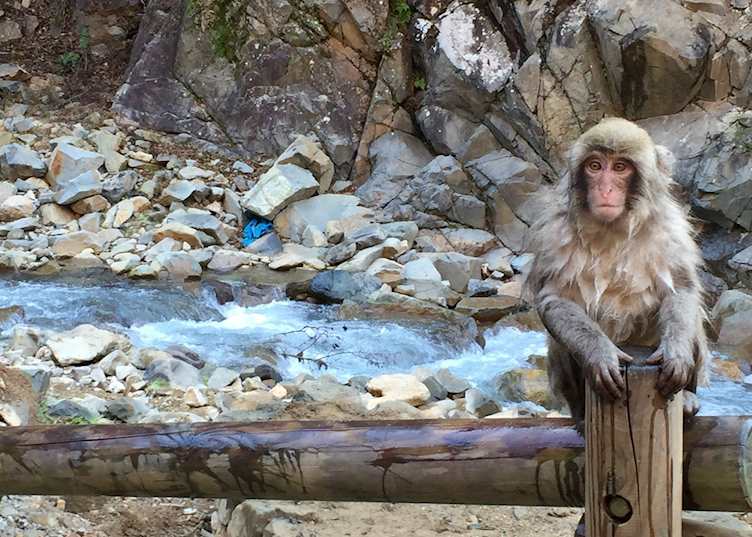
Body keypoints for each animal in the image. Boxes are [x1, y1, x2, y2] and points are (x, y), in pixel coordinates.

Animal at [525, 117, 708, 428]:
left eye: (620, 167)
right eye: (595, 166)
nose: (606, 189)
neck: (613, 227)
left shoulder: (671, 229)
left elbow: (681, 287)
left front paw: (677, 353)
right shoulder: (554, 231)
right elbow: (555, 299)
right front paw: (599, 354)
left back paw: (688, 397)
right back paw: (582, 414)